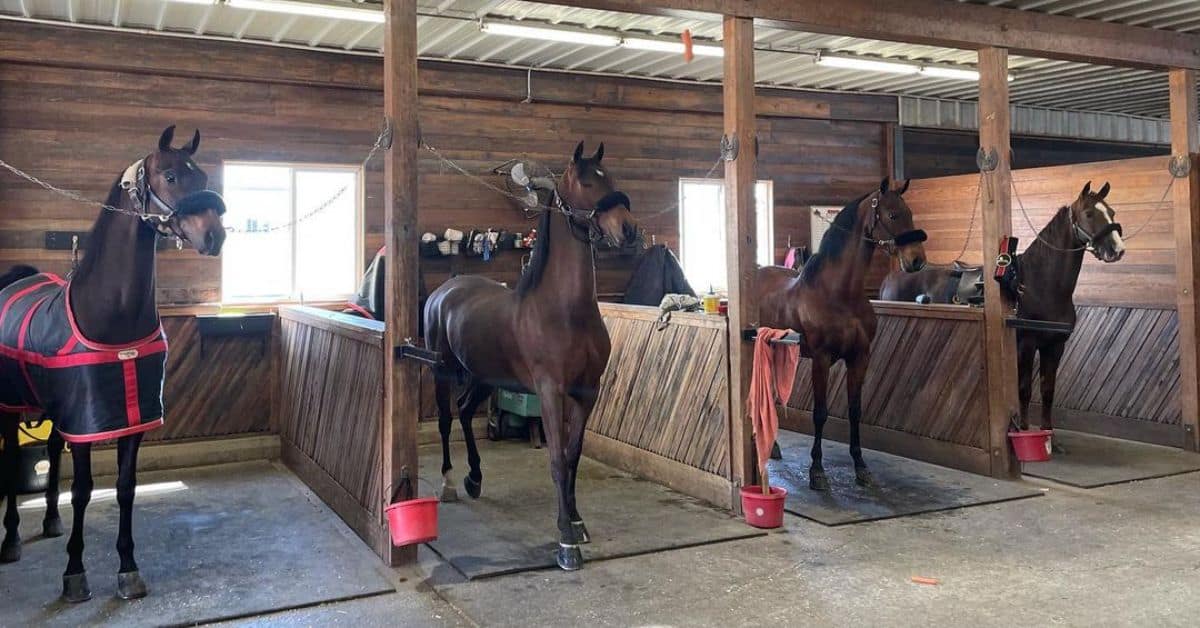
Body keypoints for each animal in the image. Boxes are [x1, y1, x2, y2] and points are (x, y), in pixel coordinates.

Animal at [429, 141, 643, 569]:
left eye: (610, 177)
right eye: (586, 182)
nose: (627, 229)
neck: (564, 310)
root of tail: (446, 290)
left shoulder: (586, 392)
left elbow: (574, 455)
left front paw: (576, 521)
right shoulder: (549, 391)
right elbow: (557, 459)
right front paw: (566, 541)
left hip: (484, 377)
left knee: (465, 411)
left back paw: (474, 478)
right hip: (442, 371)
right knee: (446, 419)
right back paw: (449, 482)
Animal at [758, 176, 926, 492]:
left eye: (910, 213)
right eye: (892, 215)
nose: (917, 261)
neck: (839, 294)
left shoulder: (859, 358)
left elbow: (855, 411)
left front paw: (861, 468)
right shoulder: (822, 359)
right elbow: (820, 413)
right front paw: (817, 471)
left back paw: (773, 447)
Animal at [883, 181, 1123, 437]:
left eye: (1112, 212)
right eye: (1089, 213)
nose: (1117, 249)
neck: (1040, 286)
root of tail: (895, 275)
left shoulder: (1055, 346)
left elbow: (1048, 391)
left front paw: (1048, 434)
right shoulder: (1025, 345)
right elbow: (1024, 390)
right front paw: (1024, 429)